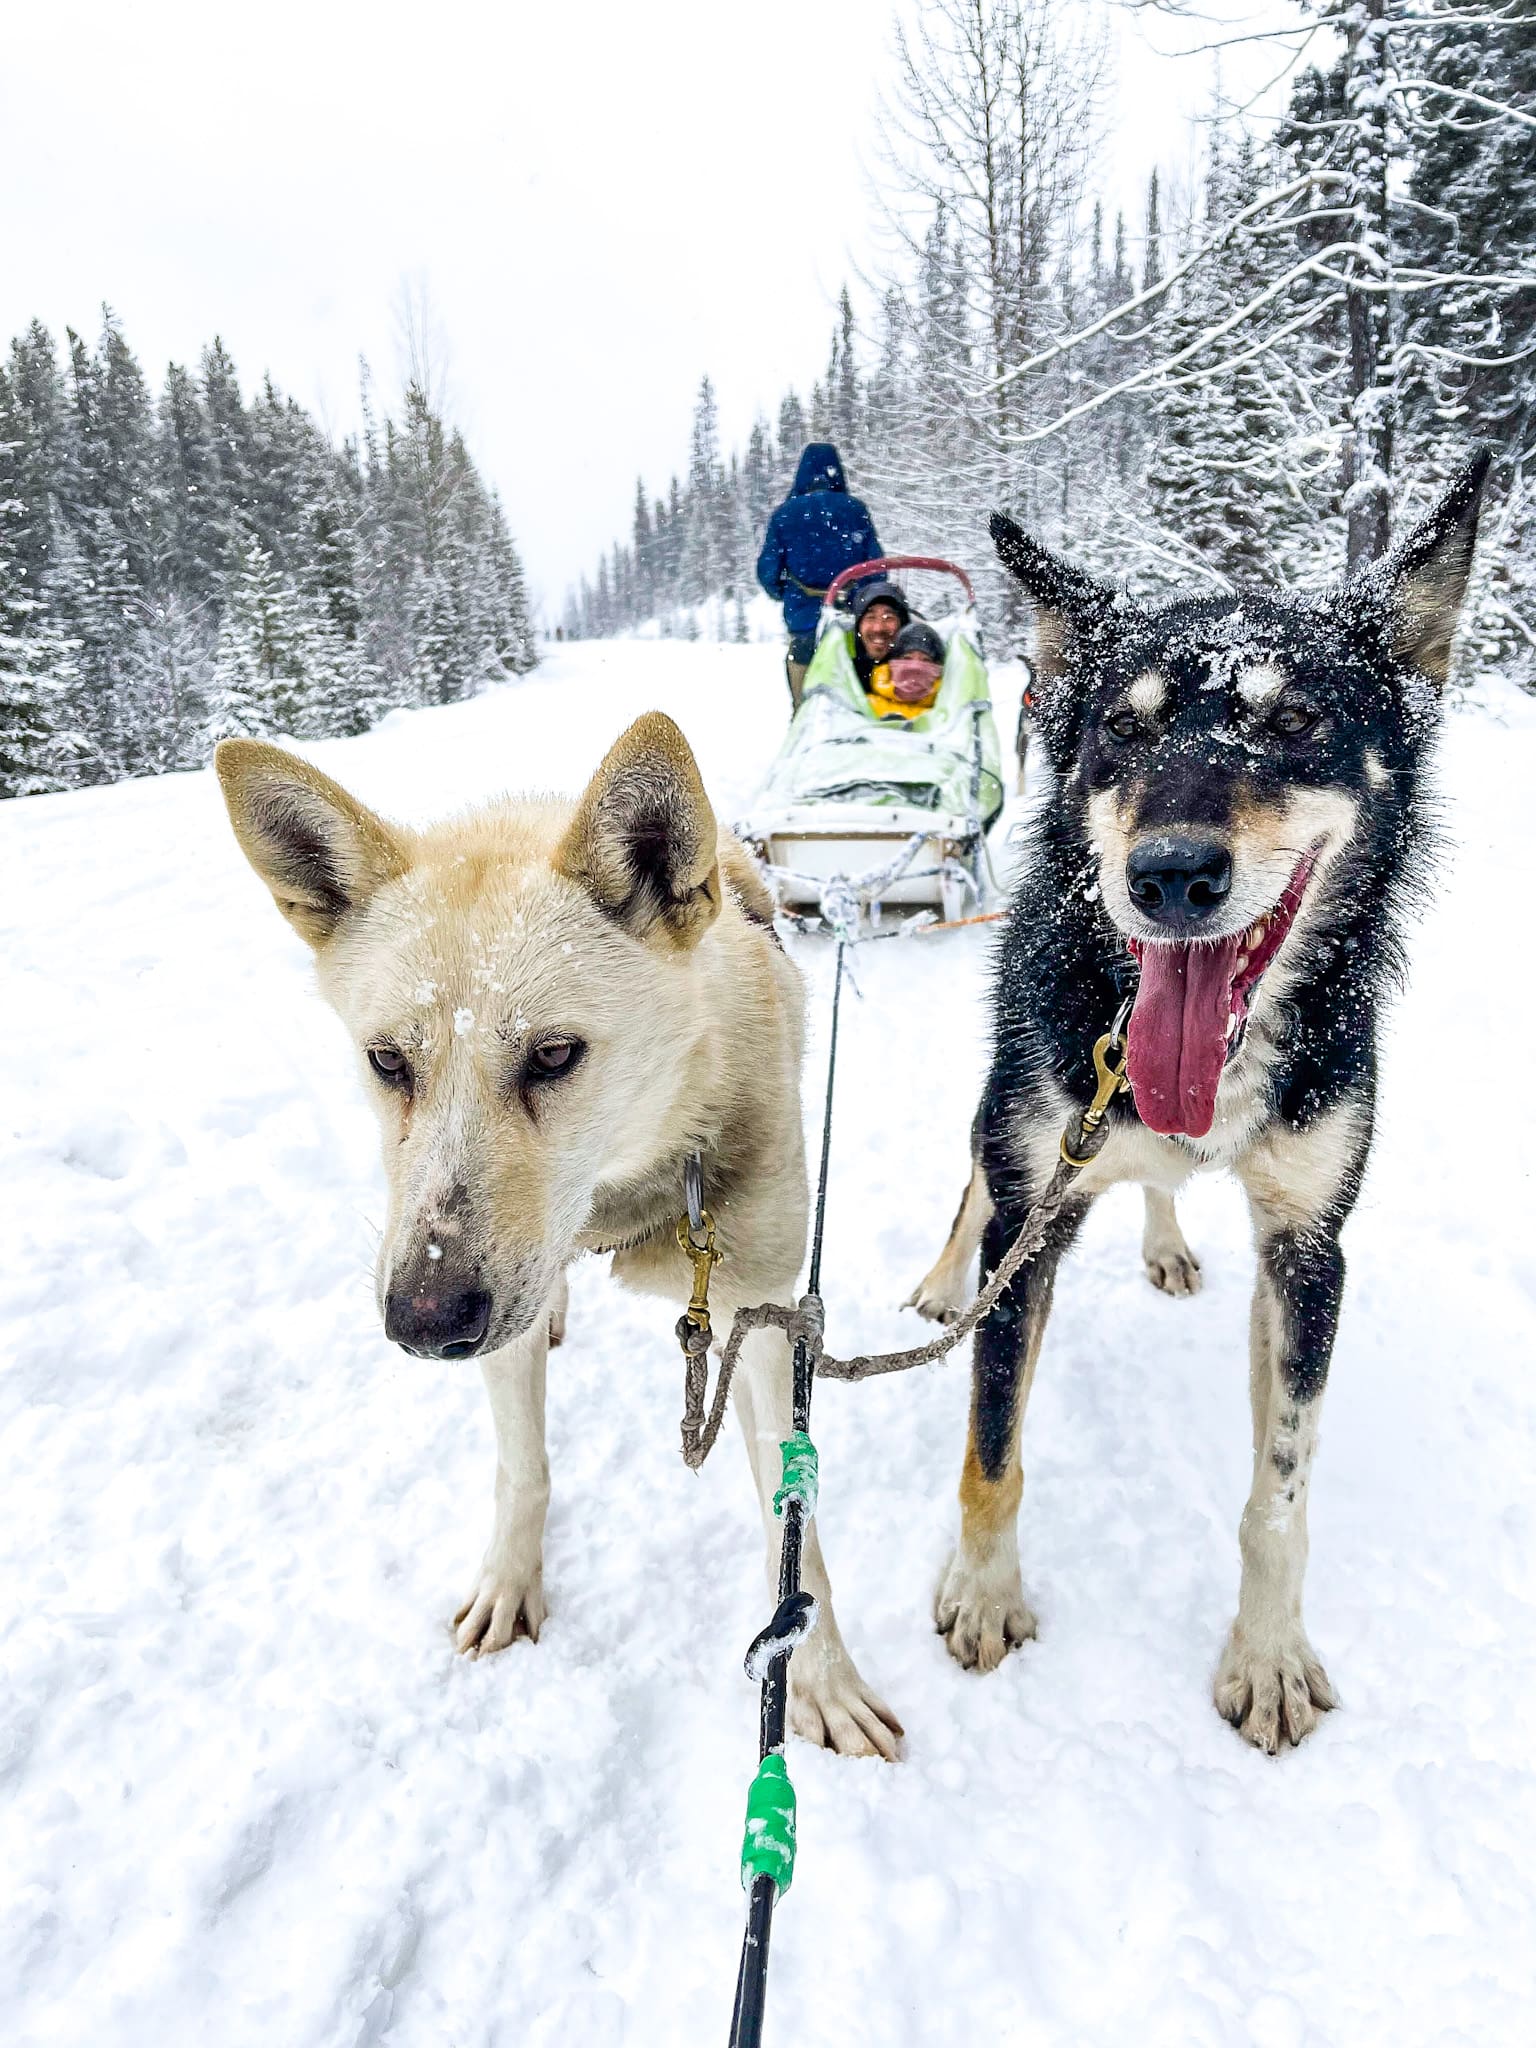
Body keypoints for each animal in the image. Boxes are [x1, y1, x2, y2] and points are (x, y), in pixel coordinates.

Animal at [217, 712, 901, 1753]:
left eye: (552, 1055)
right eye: (387, 1061)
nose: (423, 1323)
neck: (622, 1191)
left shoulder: (762, 1318)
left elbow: (796, 1535)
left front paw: (818, 1675)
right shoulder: (495, 1317)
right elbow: (523, 1467)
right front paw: (511, 1581)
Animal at [913, 456, 1490, 1753]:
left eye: (1294, 722)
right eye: (1122, 727)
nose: (1171, 873)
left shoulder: (1312, 1248)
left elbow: (1282, 1488)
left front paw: (1267, 1652)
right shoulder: (1033, 1209)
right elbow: (991, 1441)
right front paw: (984, 1589)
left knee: (1159, 1185)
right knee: (971, 1188)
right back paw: (938, 1277)